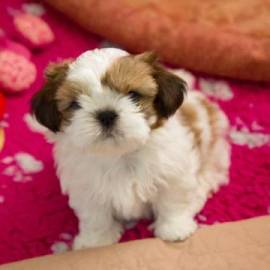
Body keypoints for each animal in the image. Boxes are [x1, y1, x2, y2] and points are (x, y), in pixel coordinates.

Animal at [31, 47, 230, 250]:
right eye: (75, 104)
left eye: (133, 95)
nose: (106, 114)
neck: (121, 154)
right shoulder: (86, 187)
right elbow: (96, 216)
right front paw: (96, 241)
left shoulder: (173, 173)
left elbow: (172, 201)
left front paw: (174, 229)